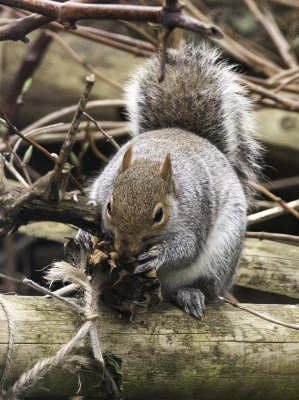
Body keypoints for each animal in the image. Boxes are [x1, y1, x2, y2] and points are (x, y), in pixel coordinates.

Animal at [81, 43, 262, 318]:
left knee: (206, 288)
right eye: (109, 206)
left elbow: (188, 249)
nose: (125, 250)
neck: (152, 159)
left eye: (159, 215)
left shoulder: (195, 213)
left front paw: (159, 255)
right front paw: (82, 233)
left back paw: (190, 294)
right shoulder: (103, 187)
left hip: (222, 257)